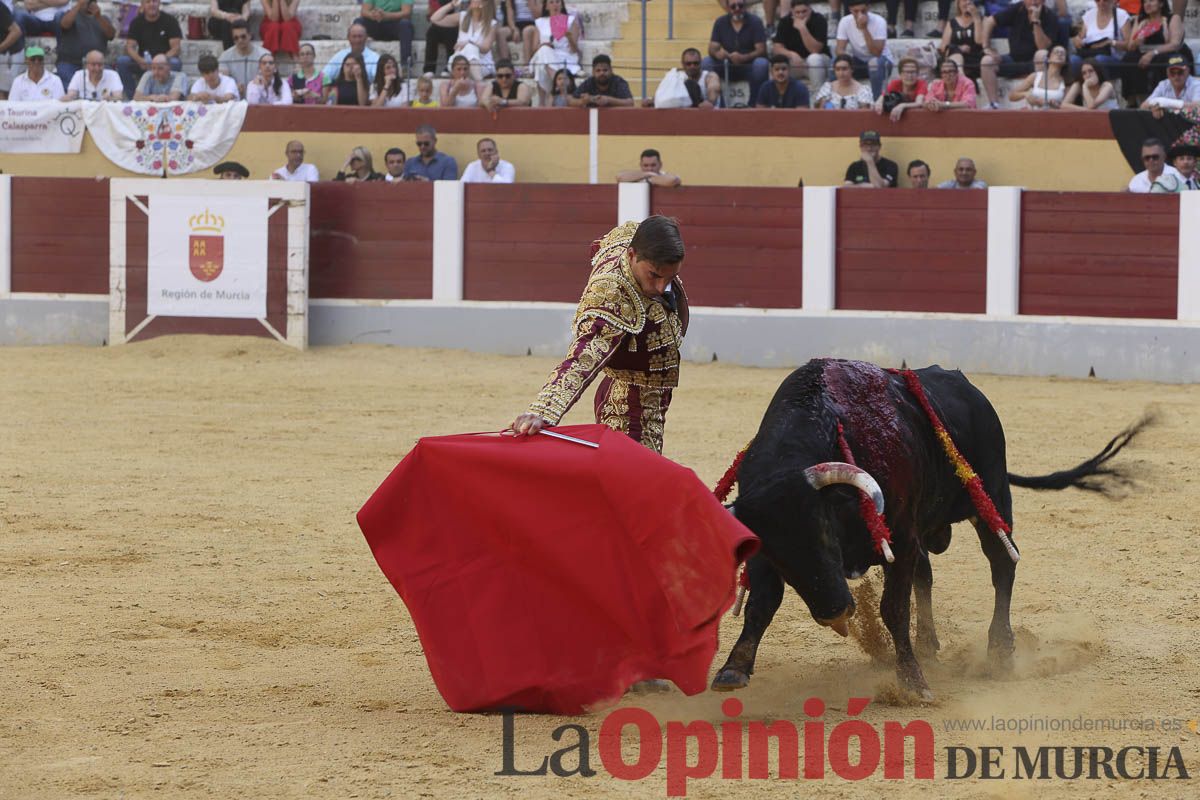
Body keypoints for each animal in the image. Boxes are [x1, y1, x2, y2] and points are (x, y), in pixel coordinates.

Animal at [710, 359, 1142, 695]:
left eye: (824, 531)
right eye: (778, 555)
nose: (835, 612)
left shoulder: (899, 536)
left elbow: (893, 608)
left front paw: (912, 682)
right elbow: (762, 602)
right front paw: (733, 668)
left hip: (991, 496)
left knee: (1002, 564)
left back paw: (999, 651)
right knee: (927, 574)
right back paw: (928, 642)